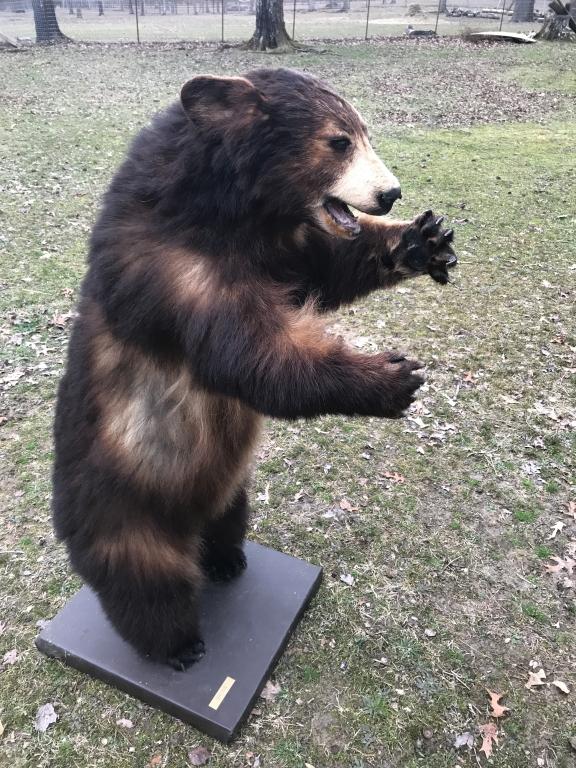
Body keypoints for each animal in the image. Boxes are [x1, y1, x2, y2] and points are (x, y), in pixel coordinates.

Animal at [54, 69, 460, 668]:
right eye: (339, 141)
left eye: (366, 131)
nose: (390, 193)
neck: (223, 215)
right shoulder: (175, 272)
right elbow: (253, 354)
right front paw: (390, 376)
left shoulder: (283, 250)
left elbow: (329, 270)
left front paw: (424, 240)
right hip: (124, 512)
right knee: (146, 586)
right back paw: (179, 646)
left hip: (227, 486)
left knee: (227, 519)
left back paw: (228, 559)